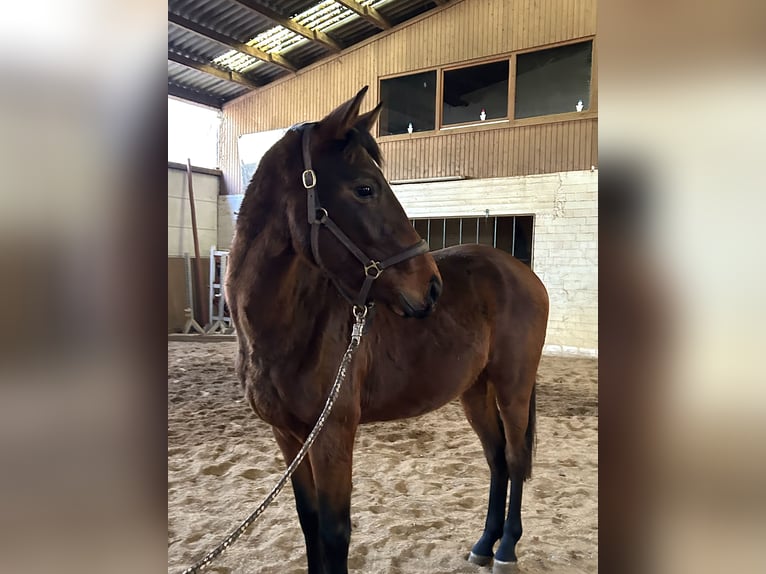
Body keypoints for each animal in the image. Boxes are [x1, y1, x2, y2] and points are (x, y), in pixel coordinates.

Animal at [225, 86, 549, 574]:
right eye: (365, 188)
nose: (431, 286)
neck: (288, 330)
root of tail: (523, 273)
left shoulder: (333, 436)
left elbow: (334, 533)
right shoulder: (288, 437)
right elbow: (309, 523)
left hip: (513, 387)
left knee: (514, 457)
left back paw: (507, 547)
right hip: (475, 390)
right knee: (496, 460)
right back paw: (484, 543)